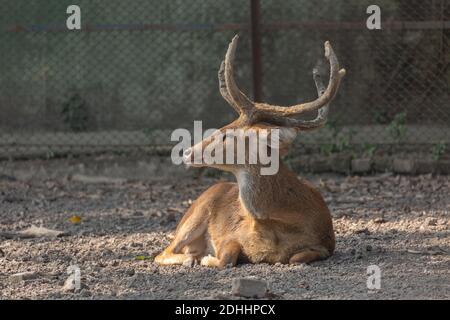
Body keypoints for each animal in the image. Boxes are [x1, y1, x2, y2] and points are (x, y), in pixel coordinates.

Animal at [156, 35, 346, 268]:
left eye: (226, 135)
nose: (186, 152)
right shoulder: (231, 235)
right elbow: (227, 257)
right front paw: (208, 258)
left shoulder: (326, 243)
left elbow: (297, 257)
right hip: (194, 215)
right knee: (163, 252)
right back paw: (191, 258)